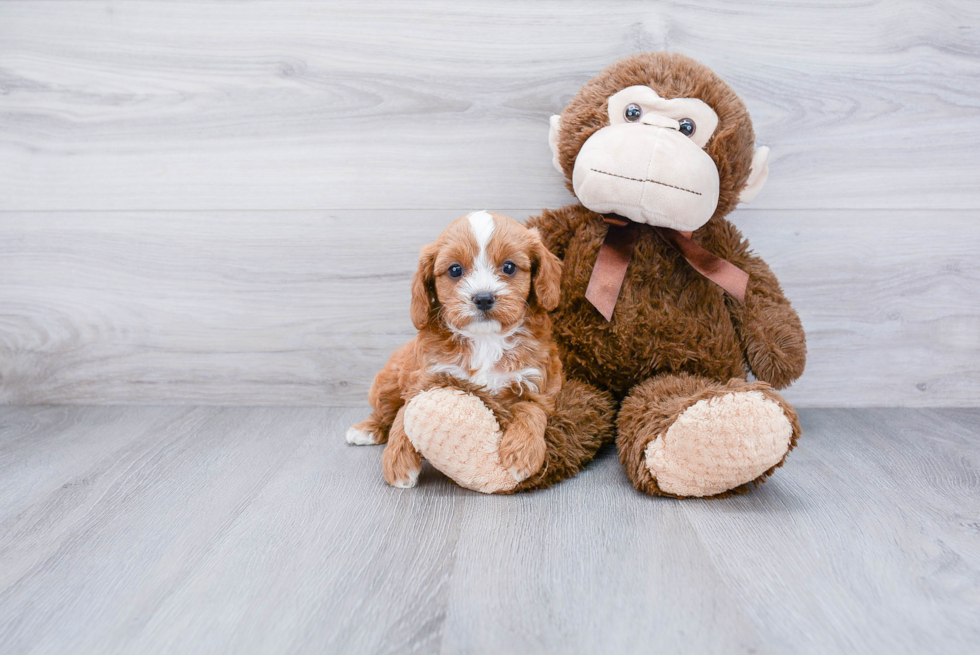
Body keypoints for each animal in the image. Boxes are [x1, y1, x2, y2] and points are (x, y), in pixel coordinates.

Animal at [346, 210, 564, 486]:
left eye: (509, 267)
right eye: (455, 270)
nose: (483, 298)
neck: (485, 340)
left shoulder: (536, 382)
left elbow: (530, 410)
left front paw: (521, 455)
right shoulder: (427, 379)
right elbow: (405, 414)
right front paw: (398, 462)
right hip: (387, 382)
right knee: (384, 411)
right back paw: (366, 430)